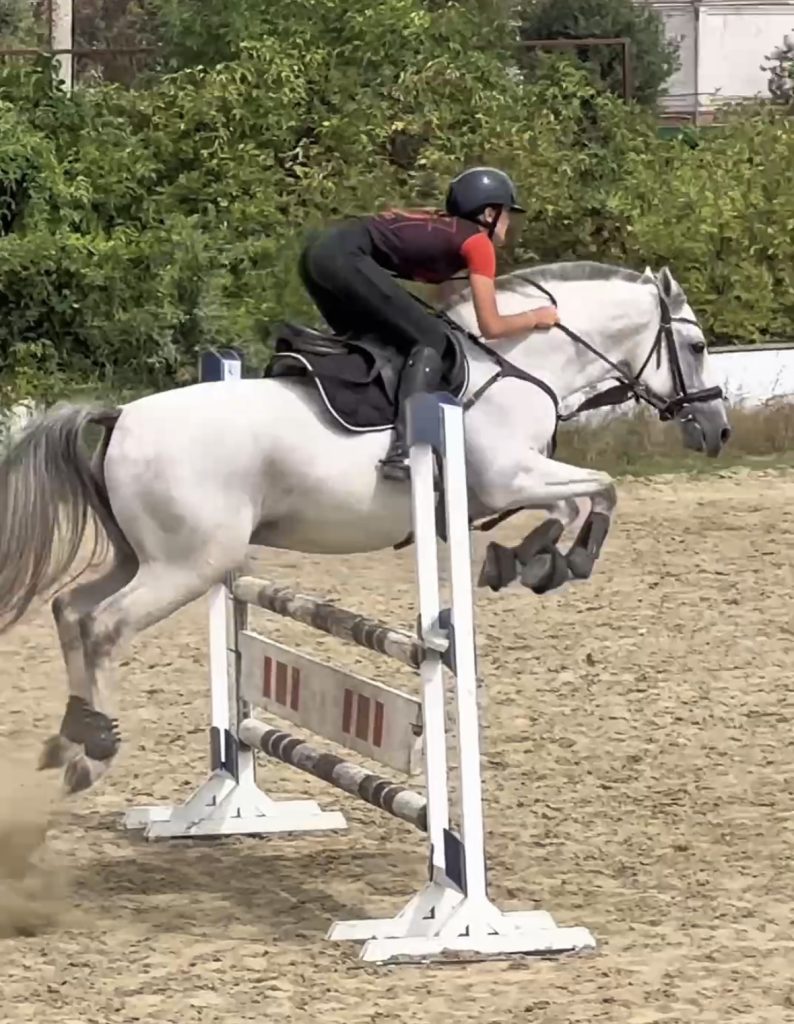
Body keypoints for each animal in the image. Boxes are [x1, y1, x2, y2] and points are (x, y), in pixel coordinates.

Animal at [0, 260, 730, 794]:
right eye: (696, 346)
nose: (717, 430)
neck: (525, 362)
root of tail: (122, 415)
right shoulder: (509, 479)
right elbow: (595, 493)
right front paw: (549, 562)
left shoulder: (505, 488)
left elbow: (583, 501)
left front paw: (528, 560)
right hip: (189, 565)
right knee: (104, 625)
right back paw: (95, 750)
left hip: (143, 558)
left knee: (70, 609)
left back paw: (69, 738)